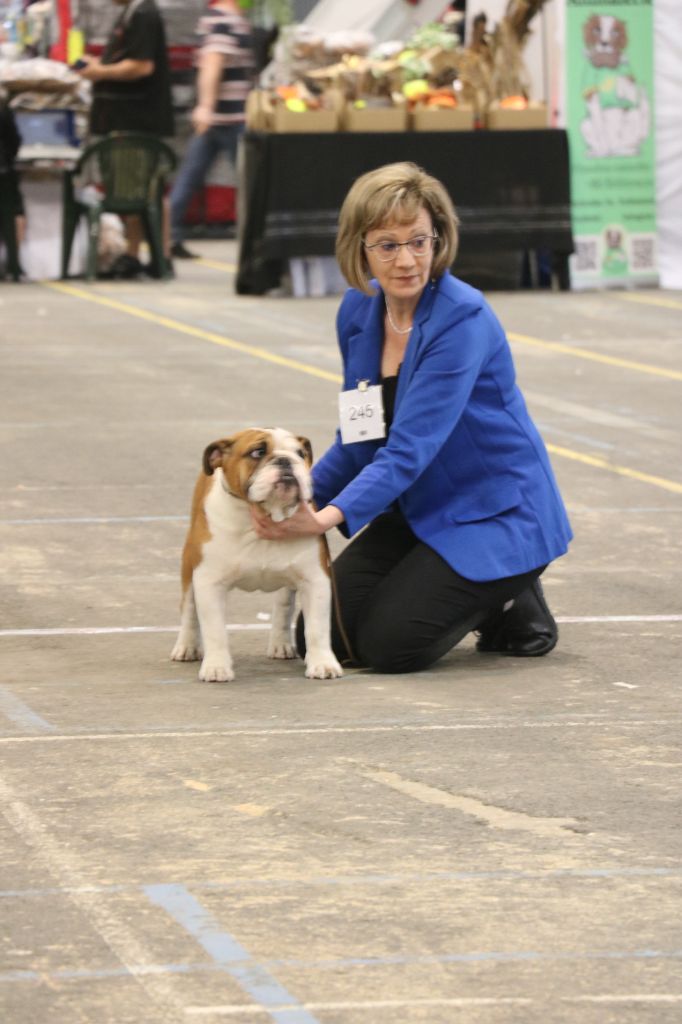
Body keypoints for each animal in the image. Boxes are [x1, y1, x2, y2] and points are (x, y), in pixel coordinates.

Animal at [169, 428, 339, 684]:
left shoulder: (315, 580)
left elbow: (317, 628)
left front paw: (323, 664)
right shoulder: (209, 582)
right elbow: (215, 630)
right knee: (188, 608)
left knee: (283, 604)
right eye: (258, 452)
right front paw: (217, 667)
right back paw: (187, 647)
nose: (285, 460)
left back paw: (281, 644)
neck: (263, 514)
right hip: (189, 566)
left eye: (300, 453)